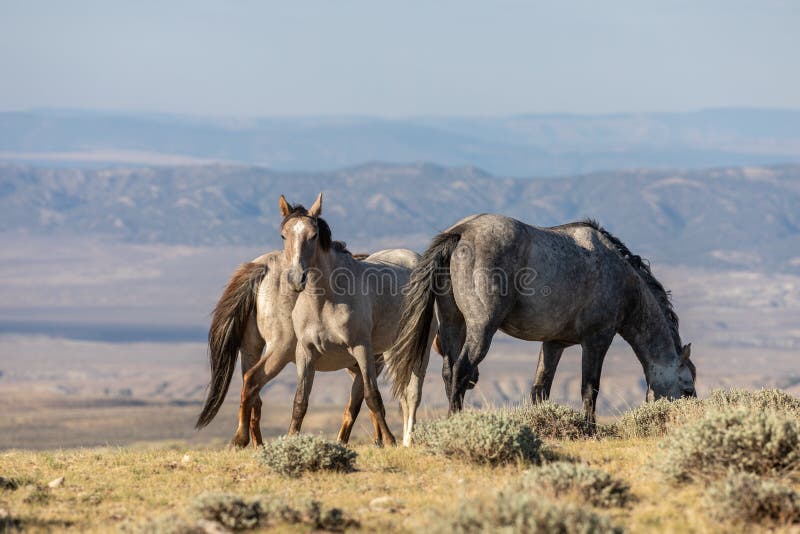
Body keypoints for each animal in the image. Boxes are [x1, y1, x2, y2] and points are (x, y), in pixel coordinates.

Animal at [196, 247, 428, 448]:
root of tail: (264, 265)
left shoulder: (358, 366)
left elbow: (358, 401)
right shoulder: (367, 362)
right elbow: (359, 403)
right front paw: (376, 440)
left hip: (251, 349)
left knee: (254, 394)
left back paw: (256, 444)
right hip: (279, 350)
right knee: (253, 381)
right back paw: (242, 440)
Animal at [280, 193, 434, 448]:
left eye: (314, 235)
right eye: (284, 235)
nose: (295, 278)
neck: (324, 301)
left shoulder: (361, 348)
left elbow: (372, 396)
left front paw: (389, 440)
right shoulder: (306, 352)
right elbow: (300, 401)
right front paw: (291, 440)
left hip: (419, 346)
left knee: (412, 394)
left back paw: (407, 442)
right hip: (392, 349)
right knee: (403, 396)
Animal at [388, 214, 692, 422]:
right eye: (687, 386)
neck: (622, 278)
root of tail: (461, 233)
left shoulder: (553, 344)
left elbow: (539, 389)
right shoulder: (597, 340)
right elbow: (589, 388)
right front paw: (590, 428)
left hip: (453, 324)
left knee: (449, 372)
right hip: (481, 329)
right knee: (462, 370)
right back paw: (456, 420)